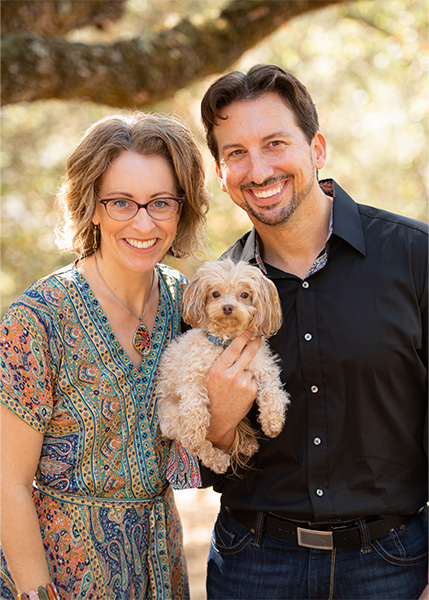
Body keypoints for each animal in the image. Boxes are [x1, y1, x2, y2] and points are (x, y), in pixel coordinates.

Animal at [157, 258, 290, 474]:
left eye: (244, 294)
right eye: (215, 293)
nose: (227, 307)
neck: (226, 342)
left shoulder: (263, 368)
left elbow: (273, 392)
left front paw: (273, 422)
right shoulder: (192, 376)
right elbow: (195, 407)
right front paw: (195, 430)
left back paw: (246, 443)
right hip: (171, 416)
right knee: (195, 444)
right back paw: (216, 458)